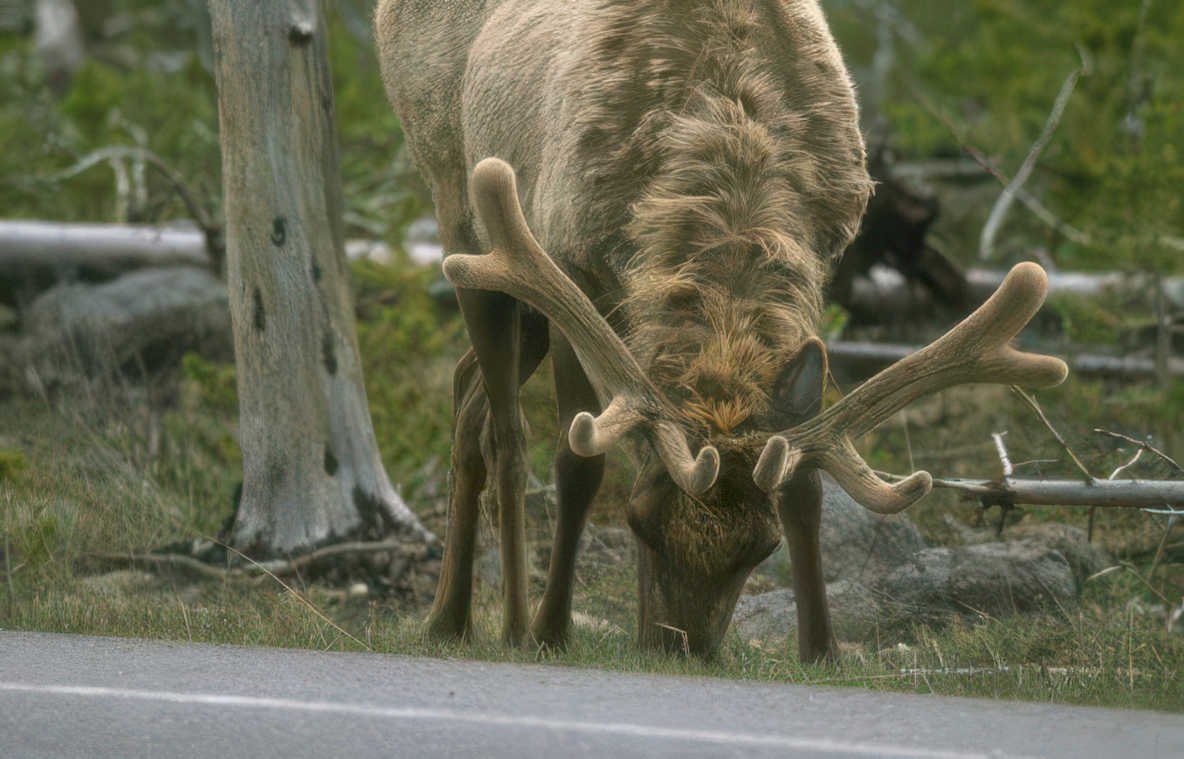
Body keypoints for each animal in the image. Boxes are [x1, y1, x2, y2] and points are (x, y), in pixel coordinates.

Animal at [376, 0, 1069, 661]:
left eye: (762, 549)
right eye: (639, 524)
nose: (681, 647)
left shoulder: (818, 270)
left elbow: (805, 478)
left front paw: (821, 650)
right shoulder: (569, 259)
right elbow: (578, 461)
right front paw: (551, 632)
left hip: (525, 306)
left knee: (466, 393)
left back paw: (452, 618)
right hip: (465, 213)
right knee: (506, 433)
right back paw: (498, 625)